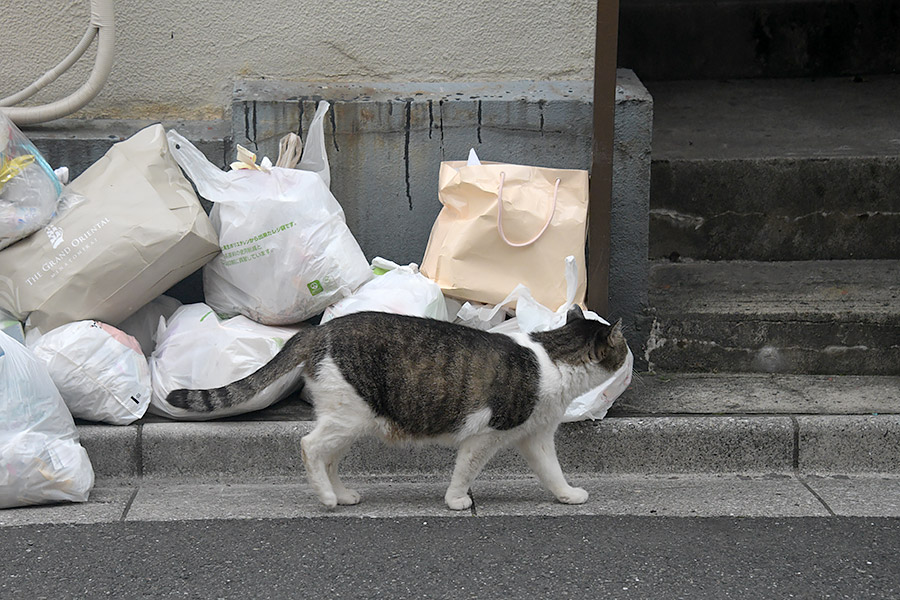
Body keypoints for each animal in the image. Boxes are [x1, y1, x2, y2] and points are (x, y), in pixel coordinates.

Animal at [167, 310, 624, 510]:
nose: (629, 354)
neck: (553, 359)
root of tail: (319, 329)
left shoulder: (536, 437)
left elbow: (552, 471)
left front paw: (567, 495)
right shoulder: (485, 436)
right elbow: (465, 471)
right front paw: (457, 500)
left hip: (350, 420)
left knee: (329, 458)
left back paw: (341, 494)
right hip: (348, 416)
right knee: (309, 447)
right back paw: (327, 499)